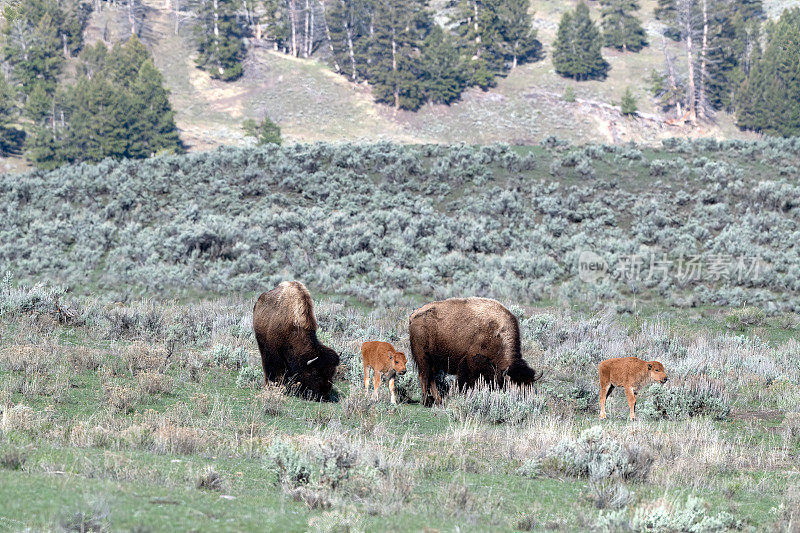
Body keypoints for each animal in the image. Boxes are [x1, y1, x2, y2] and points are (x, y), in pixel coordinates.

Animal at [410, 298, 540, 406]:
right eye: (515, 385)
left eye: (529, 385)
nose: (527, 399)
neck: (497, 333)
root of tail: (413, 316)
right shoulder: (470, 364)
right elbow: (467, 382)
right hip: (423, 358)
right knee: (424, 376)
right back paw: (427, 401)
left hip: (433, 362)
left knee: (430, 377)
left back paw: (438, 400)